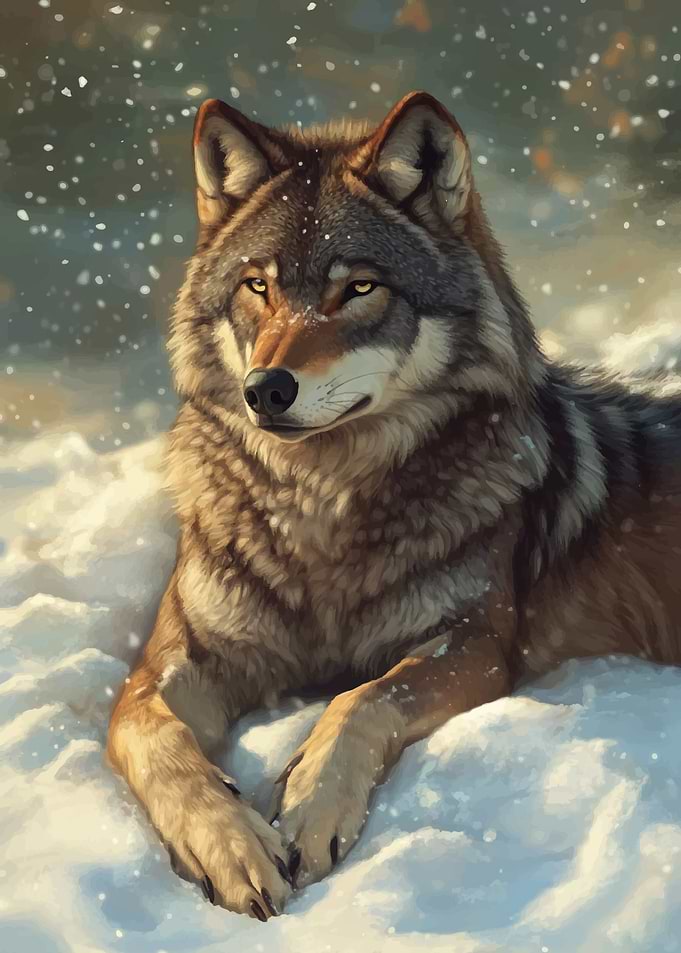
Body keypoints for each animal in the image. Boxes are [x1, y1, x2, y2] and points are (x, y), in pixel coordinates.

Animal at [107, 91, 681, 920]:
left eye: (359, 288)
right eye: (258, 287)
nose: (264, 390)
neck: (319, 504)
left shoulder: (475, 643)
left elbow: (361, 697)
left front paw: (308, 809)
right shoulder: (170, 662)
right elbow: (151, 736)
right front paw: (231, 845)